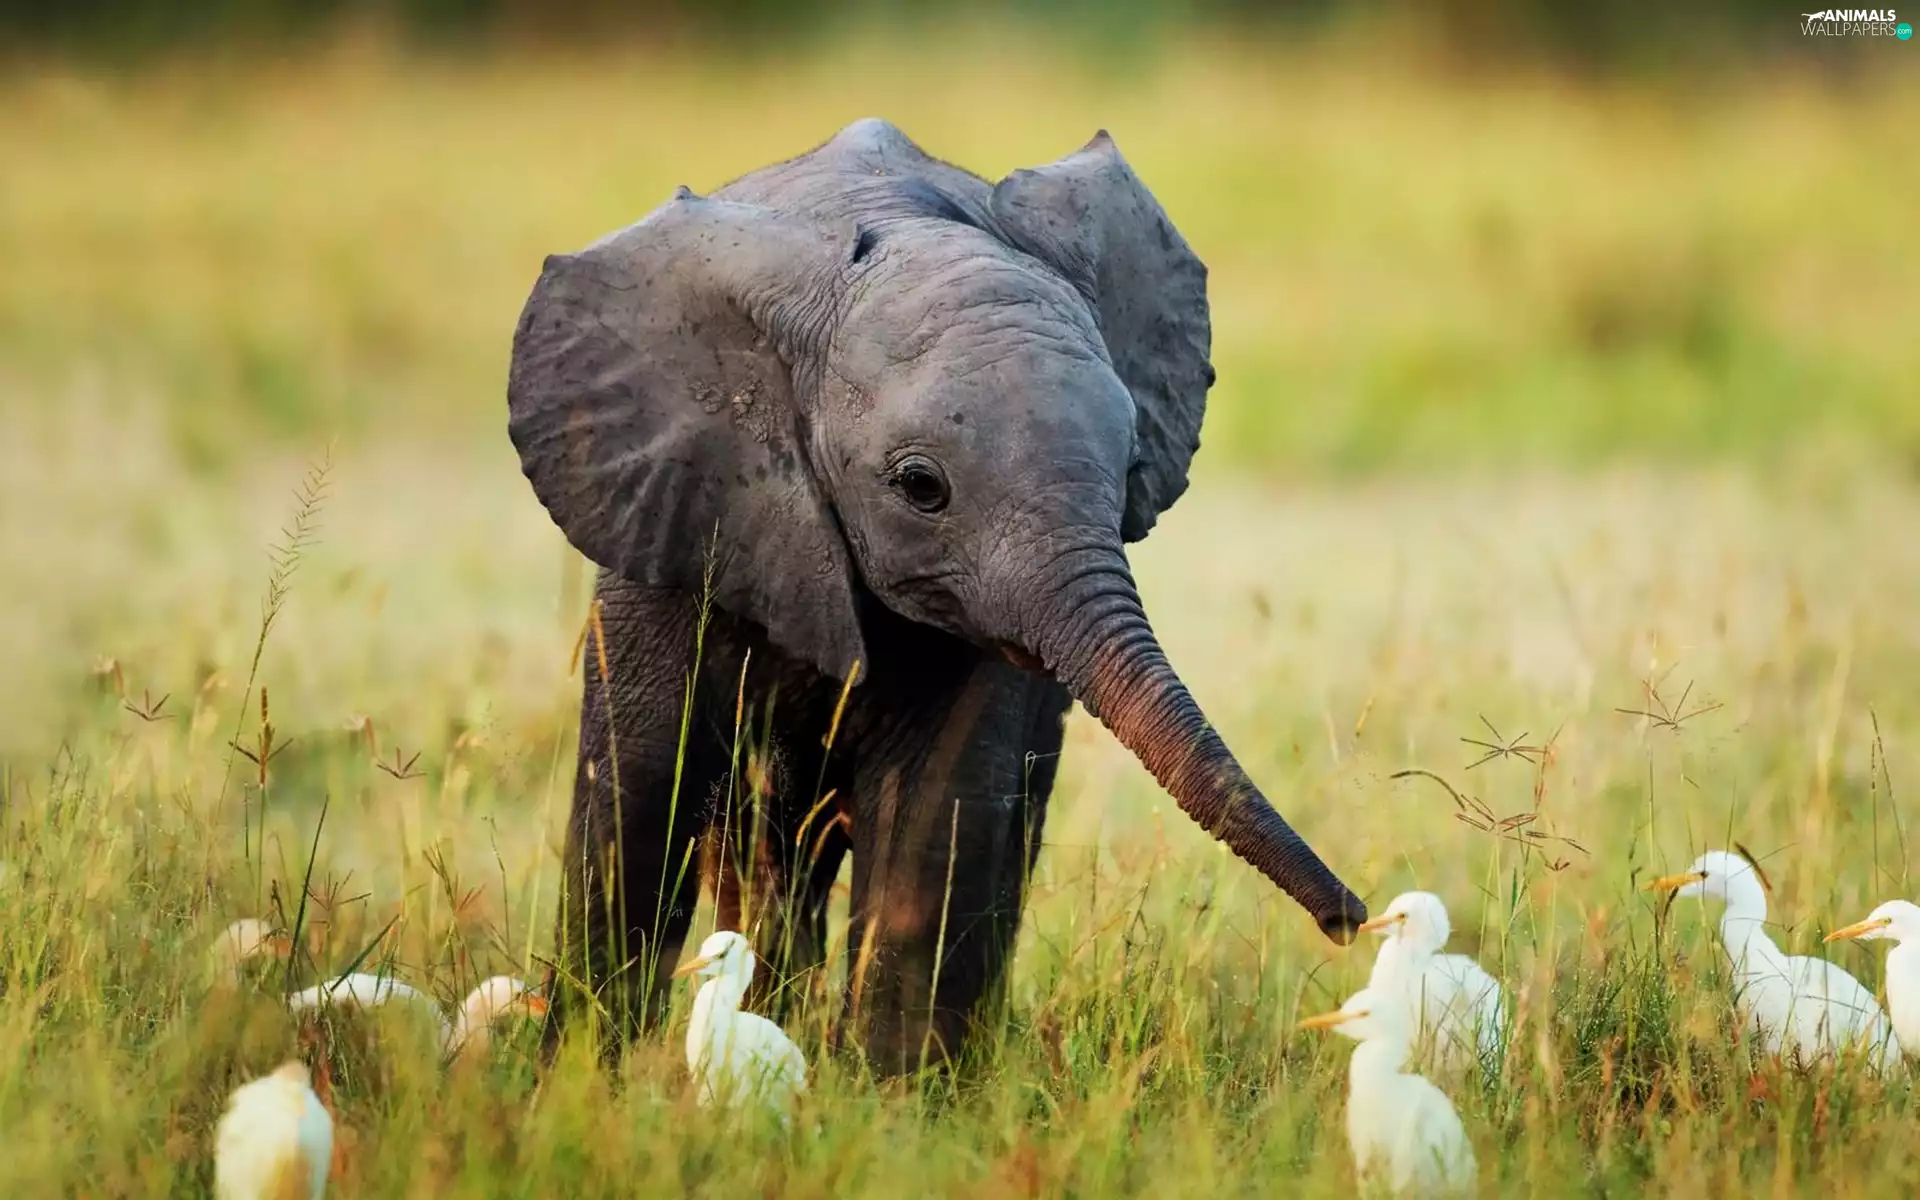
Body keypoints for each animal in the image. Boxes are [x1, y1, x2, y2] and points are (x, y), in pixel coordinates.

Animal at [506, 117, 1366, 1073]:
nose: (1350, 921)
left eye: (1132, 466)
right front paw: (577, 1078)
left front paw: (896, 1098)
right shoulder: (674, 513)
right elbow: (638, 795)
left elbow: (937, 815)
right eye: (921, 487)